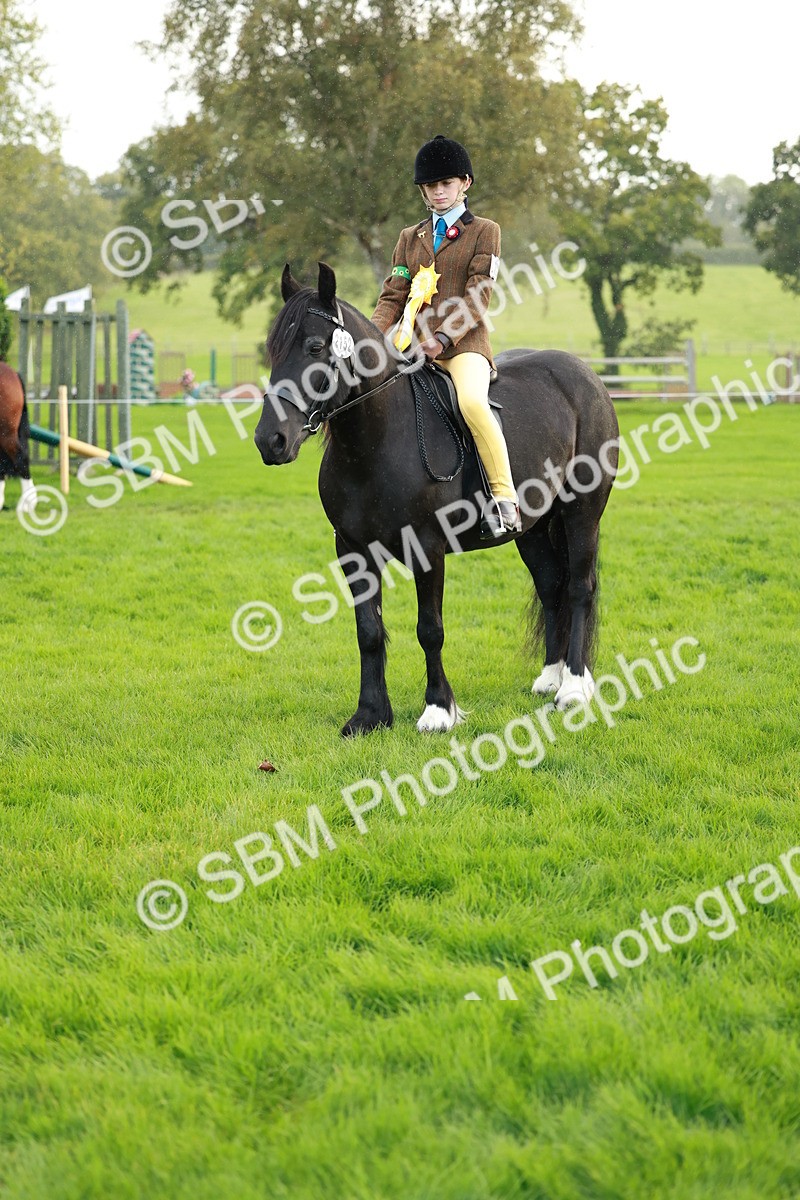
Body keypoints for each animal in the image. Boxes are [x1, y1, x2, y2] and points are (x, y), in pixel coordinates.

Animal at [254, 262, 619, 737]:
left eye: (315, 347)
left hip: (582, 513)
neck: (375, 442)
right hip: (533, 528)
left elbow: (429, 628)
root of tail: (586, 376)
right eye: (273, 349)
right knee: (550, 583)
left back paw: (573, 686)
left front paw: (438, 710)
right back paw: (551, 677)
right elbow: (367, 631)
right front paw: (370, 715)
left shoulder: (426, 548)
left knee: (578, 587)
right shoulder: (352, 550)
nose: (270, 440)